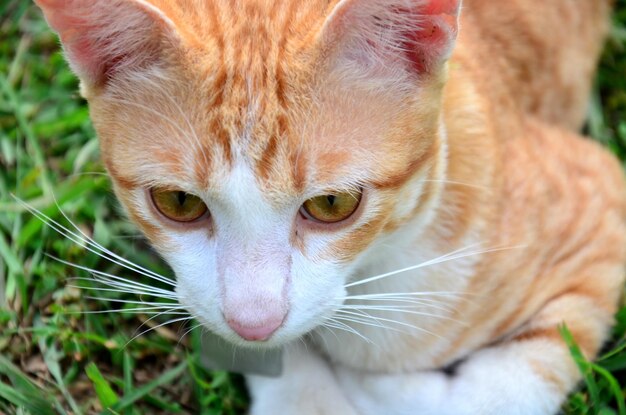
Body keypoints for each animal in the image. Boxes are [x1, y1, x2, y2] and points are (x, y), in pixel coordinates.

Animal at [35, 0, 624, 414]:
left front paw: (379, 389)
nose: (254, 322)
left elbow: (499, 393)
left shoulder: (600, 196)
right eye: (178, 202)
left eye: (332, 203)